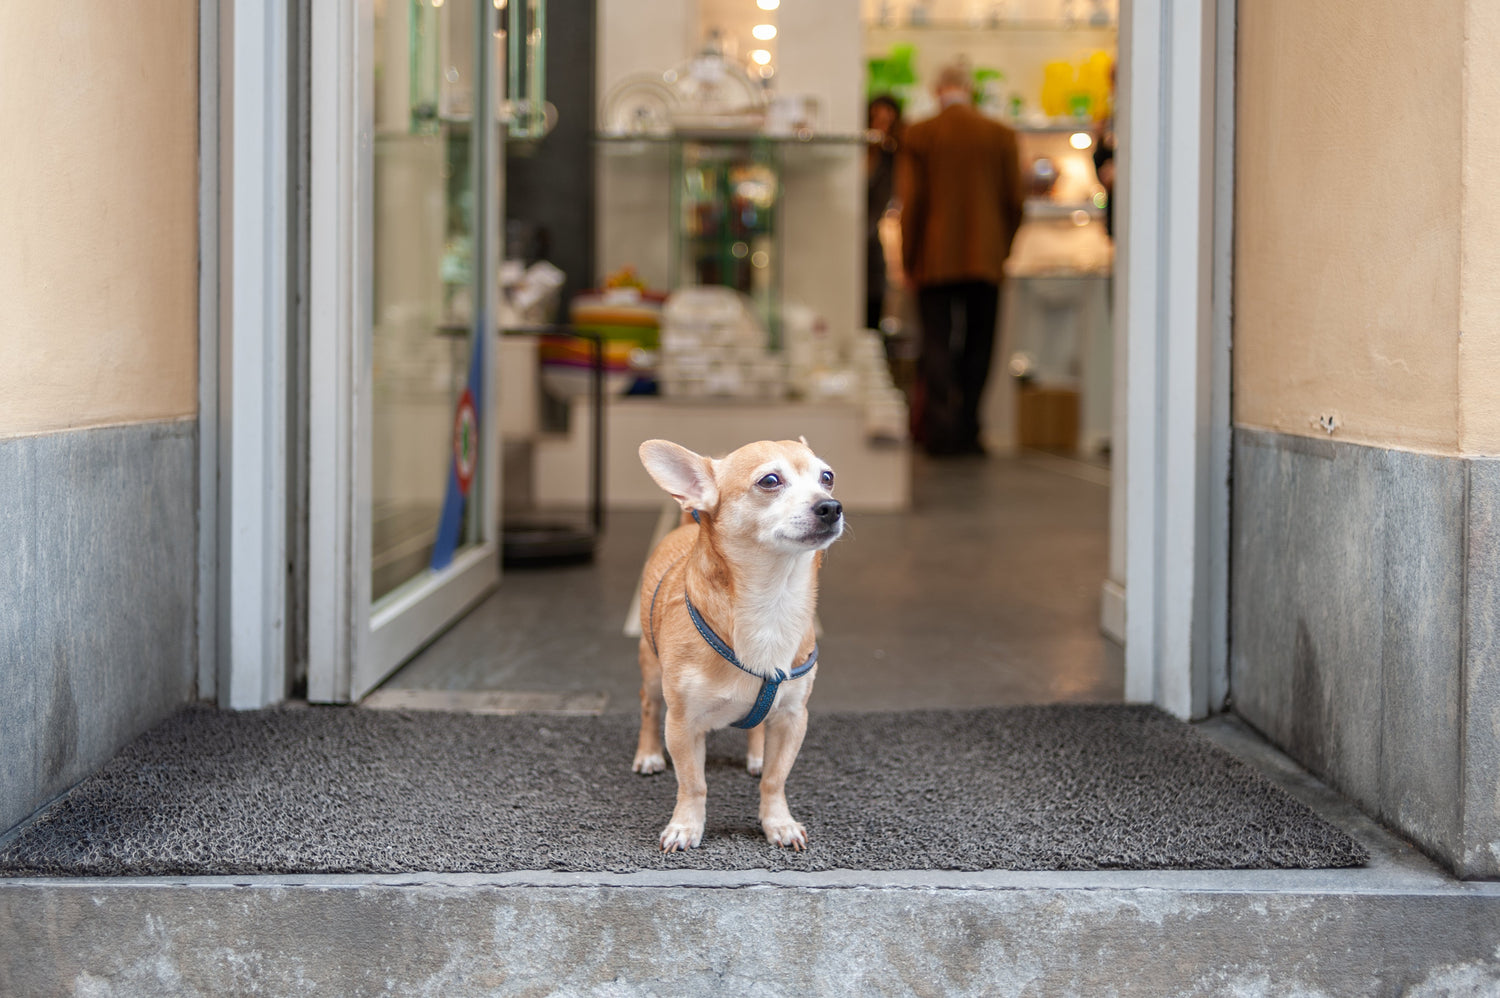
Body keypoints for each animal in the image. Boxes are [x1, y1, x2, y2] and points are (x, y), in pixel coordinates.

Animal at [633, 435, 846, 846]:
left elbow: (776, 780)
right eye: (770, 481)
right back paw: (648, 754)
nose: (831, 506)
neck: (771, 603)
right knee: (649, 709)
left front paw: (778, 822)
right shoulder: (682, 724)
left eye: (827, 478)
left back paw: (758, 755)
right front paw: (686, 826)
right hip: (651, 673)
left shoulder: (793, 718)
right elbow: (693, 783)